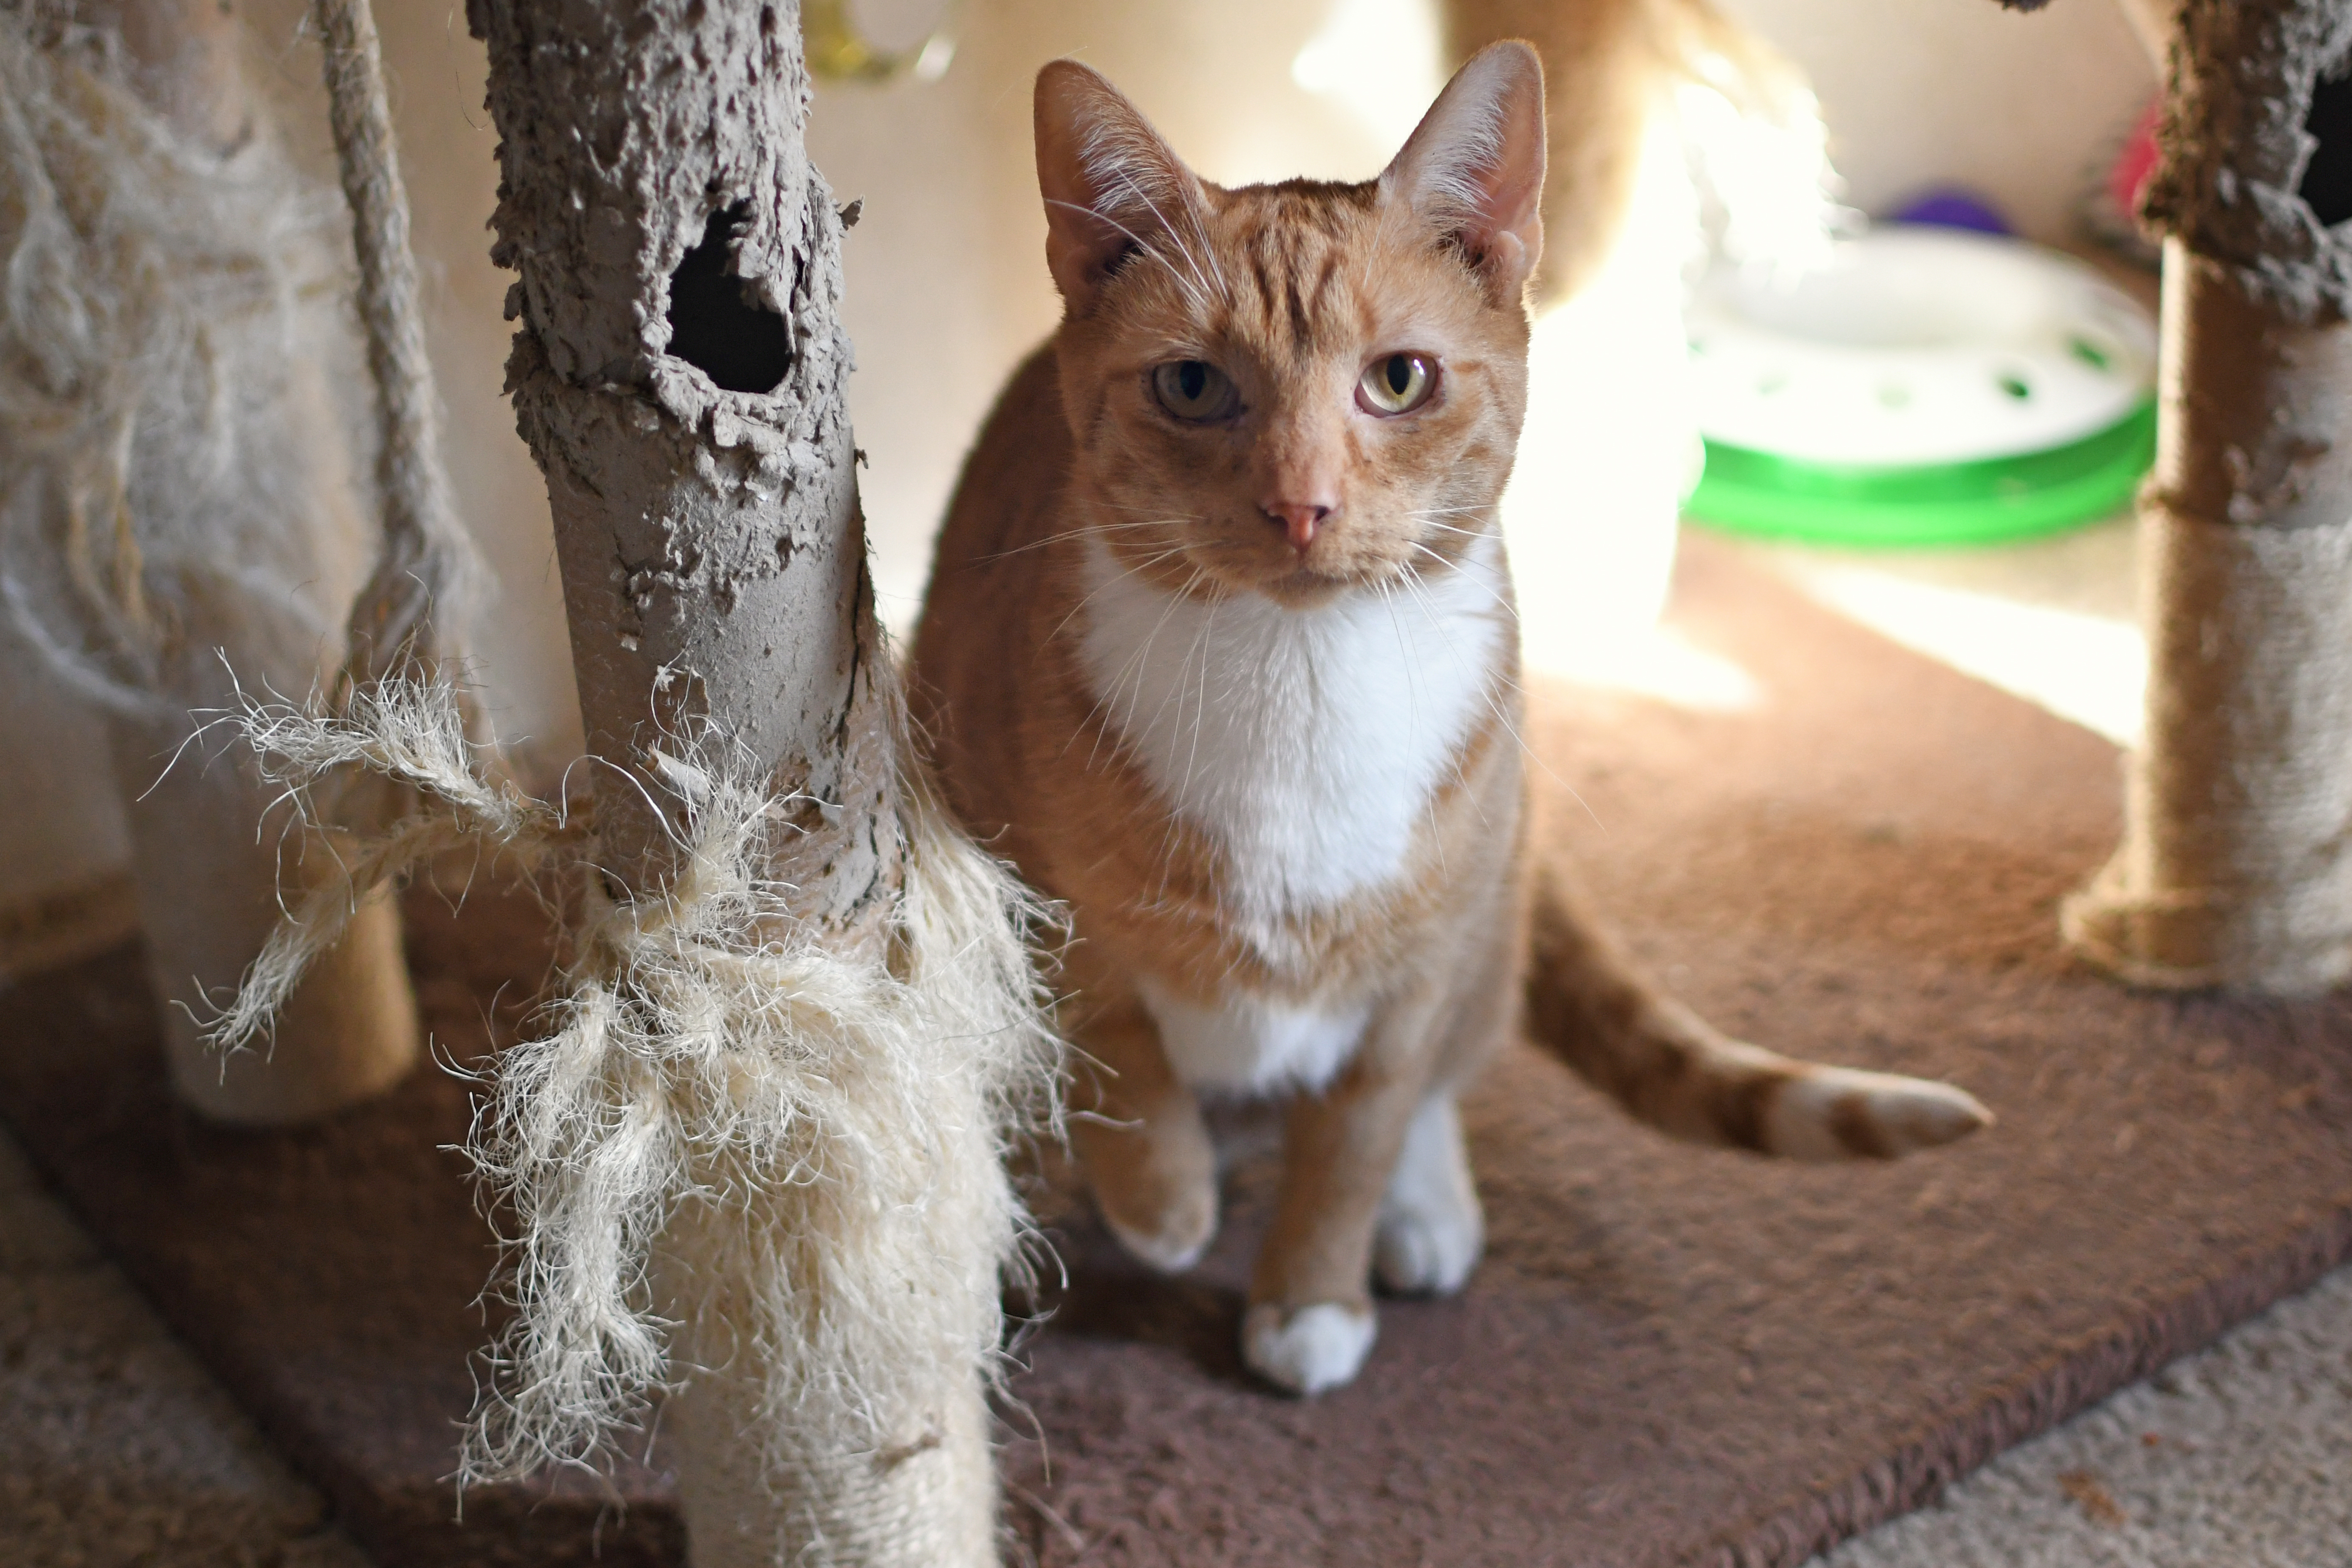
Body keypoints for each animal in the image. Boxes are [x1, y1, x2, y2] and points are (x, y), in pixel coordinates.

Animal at [908, 46, 1994, 1401]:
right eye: (1194, 385)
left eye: (1398, 380)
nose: (1302, 506)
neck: (1299, 686)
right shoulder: (1033, 888)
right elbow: (1119, 1041)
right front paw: (1163, 1203)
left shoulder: (1421, 965)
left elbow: (1359, 1135)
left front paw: (1313, 1297)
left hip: (1494, 899)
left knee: (1444, 1080)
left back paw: (1423, 1217)